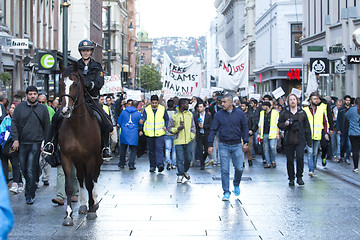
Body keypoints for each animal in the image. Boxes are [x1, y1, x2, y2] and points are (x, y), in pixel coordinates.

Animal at [57, 62, 102, 226]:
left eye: (75, 84)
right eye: (60, 83)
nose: (65, 110)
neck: (77, 126)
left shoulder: (90, 157)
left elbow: (90, 183)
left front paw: (92, 210)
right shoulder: (67, 157)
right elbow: (69, 186)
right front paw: (68, 215)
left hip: (98, 158)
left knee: (94, 177)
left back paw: (94, 202)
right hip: (78, 160)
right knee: (81, 178)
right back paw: (83, 204)